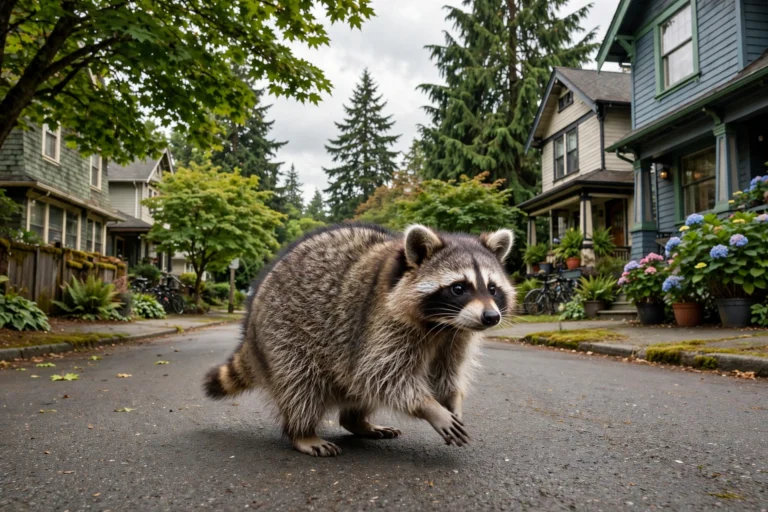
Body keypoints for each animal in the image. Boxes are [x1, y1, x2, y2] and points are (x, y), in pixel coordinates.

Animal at [204, 224, 515, 457]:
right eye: (459, 288)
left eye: (492, 288)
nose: (491, 317)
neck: (442, 325)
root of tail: (251, 324)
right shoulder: (379, 324)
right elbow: (382, 374)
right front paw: (429, 407)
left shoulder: (456, 337)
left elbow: (445, 373)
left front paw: (452, 400)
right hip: (282, 332)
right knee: (301, 382)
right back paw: (302, 432)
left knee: (355, 389)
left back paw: (357, 421)